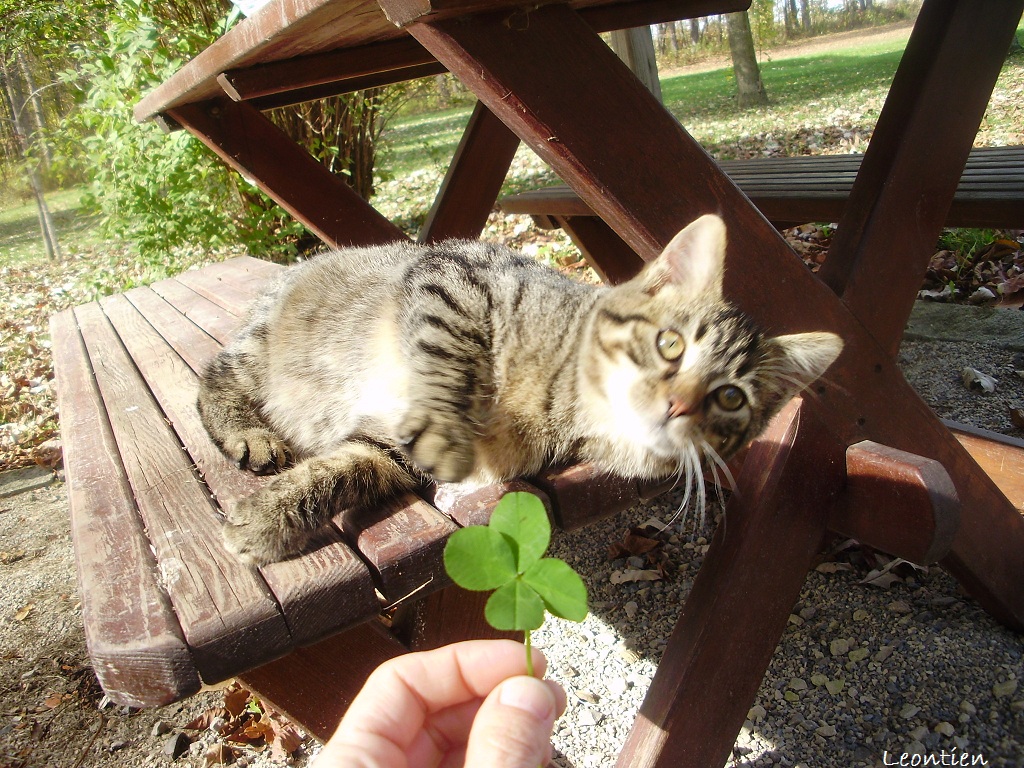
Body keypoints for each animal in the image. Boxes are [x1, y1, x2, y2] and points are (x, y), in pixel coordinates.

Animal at [198, 214, 842, 565]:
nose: (678, 403)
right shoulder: (453, 273)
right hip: (260, 349)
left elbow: (343, 469)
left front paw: (269, 517)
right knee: (213, 376)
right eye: (670, 344)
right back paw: (249, 434)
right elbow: (448, 352)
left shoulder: (388, 451)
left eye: (731, 398)